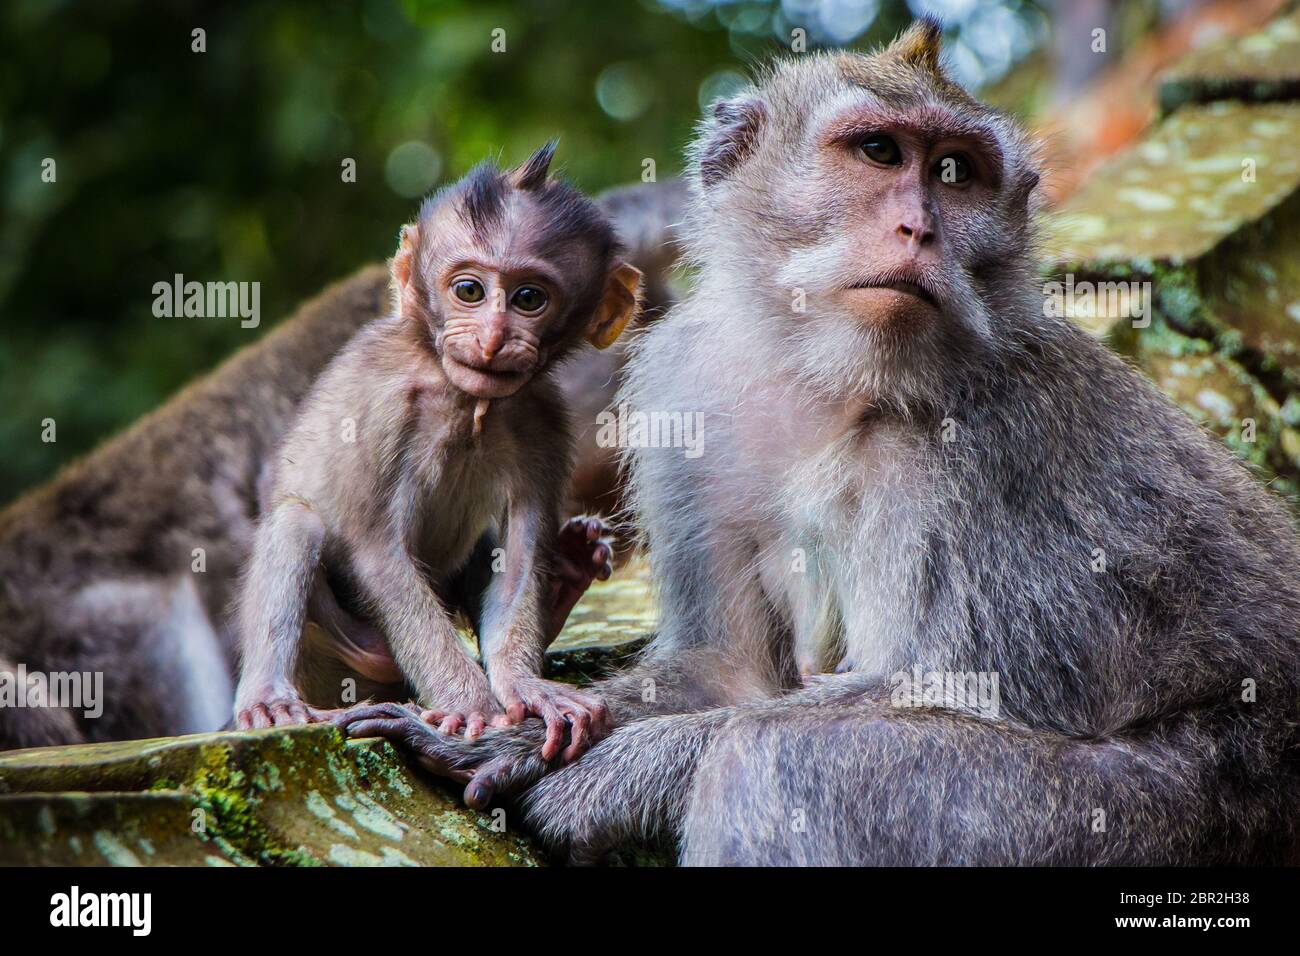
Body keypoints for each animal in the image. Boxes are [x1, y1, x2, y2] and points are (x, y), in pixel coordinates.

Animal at [0, 175, 686, 749]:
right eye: (468, 289)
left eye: (529, 298)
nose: (492, 338)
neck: (464, 399)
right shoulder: (383, 407)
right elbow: (372, 543)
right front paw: (473, 707)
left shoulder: (545, 419)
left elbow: (517, 551)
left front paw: (526, 686)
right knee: (297, 525)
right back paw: (276, 694)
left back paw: (566, 580)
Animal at [340, 20, 1300, 868]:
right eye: (879, 153)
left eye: (955, 173)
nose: (921, 228)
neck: (841, 382)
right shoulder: (692, 393)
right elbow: (728, 670)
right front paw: (533, 726)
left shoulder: (982, 450)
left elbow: (931, 692)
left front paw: (590, 769)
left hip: (1143, 813)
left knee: (778, 766)